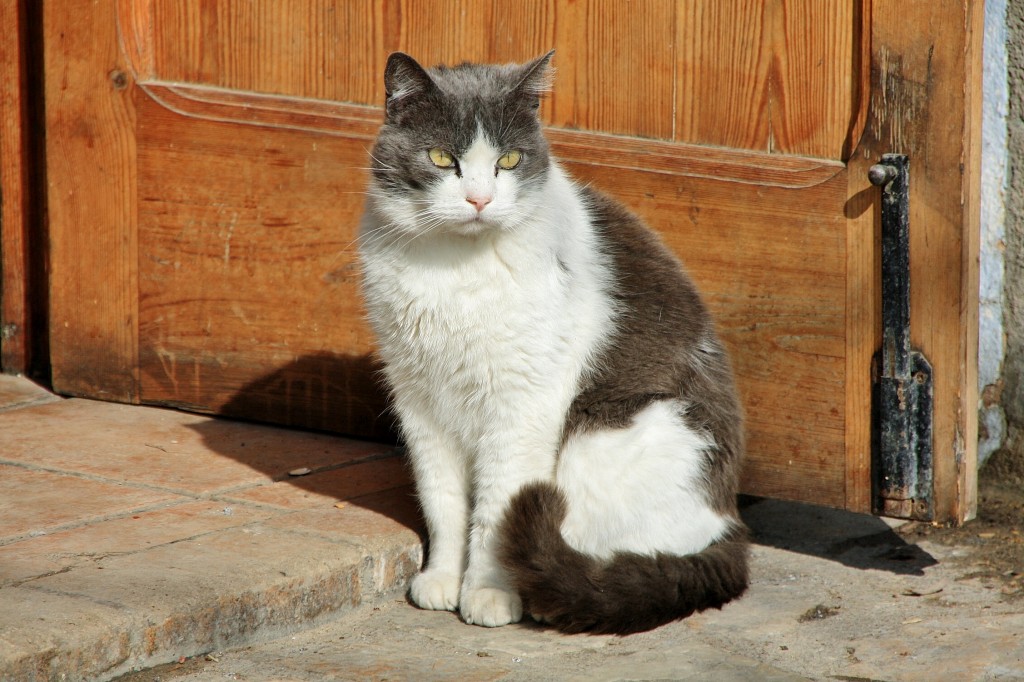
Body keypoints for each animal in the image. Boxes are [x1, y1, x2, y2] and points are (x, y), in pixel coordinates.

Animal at [360, 51, 753, 630]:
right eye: (440, 158)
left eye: (509, 160)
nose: (479, 198)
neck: (454, 269)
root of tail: (730, 525)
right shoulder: (420, 402)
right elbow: (443, 501)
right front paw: (442, 579)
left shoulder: (522, 407)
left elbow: (496, 508)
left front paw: (488, 592)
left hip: (599, 442)